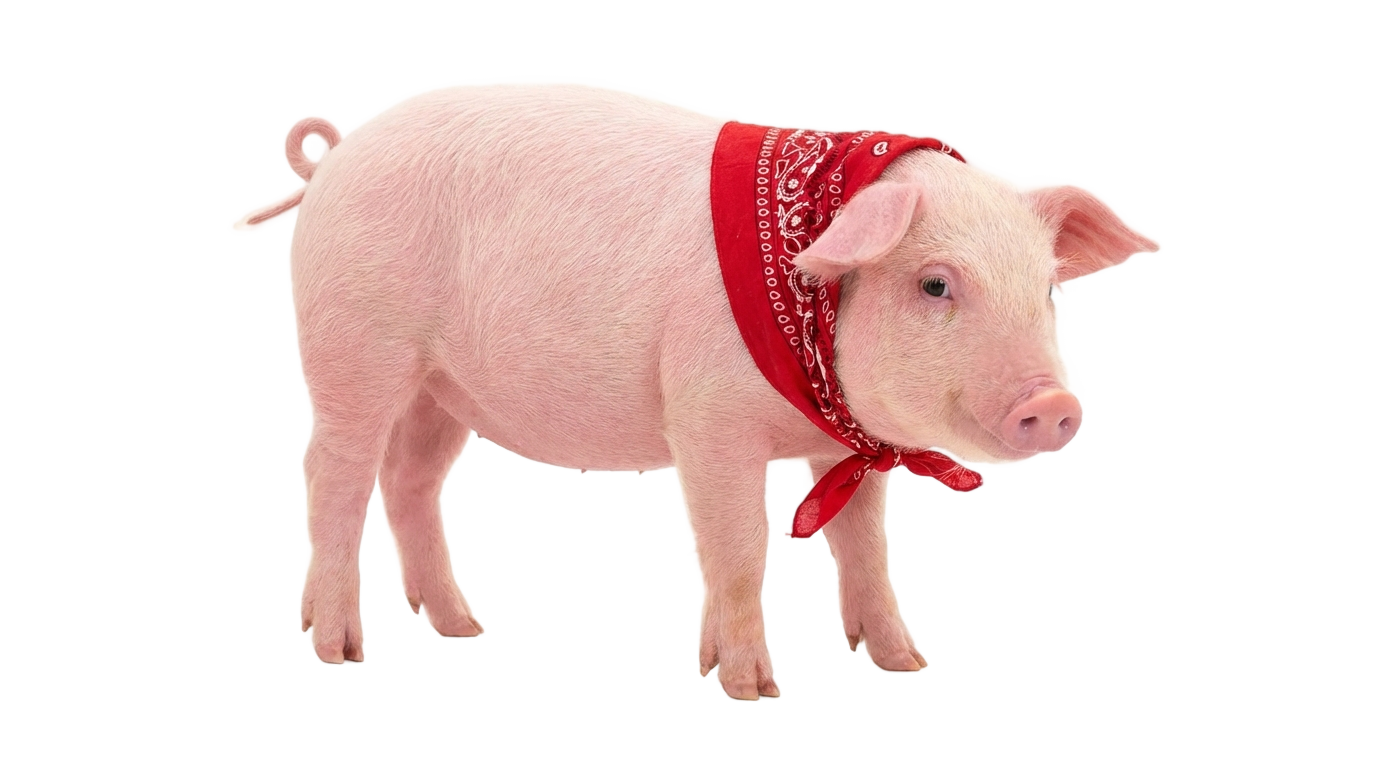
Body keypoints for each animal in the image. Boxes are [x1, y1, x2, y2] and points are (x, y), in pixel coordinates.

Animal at [244, 87, 1152, 699]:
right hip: (355, 348)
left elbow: (863, 547)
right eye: (935, 284)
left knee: (409, 482)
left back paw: (462, 628)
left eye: (1047, 289)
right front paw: (751, 691)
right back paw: (339, 650)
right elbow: (738, 551)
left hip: (440, 387)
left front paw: (902, 664)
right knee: (334, 480)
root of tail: (333, 157)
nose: (1054, 405)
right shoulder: (707, 419)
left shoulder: (838, 450)